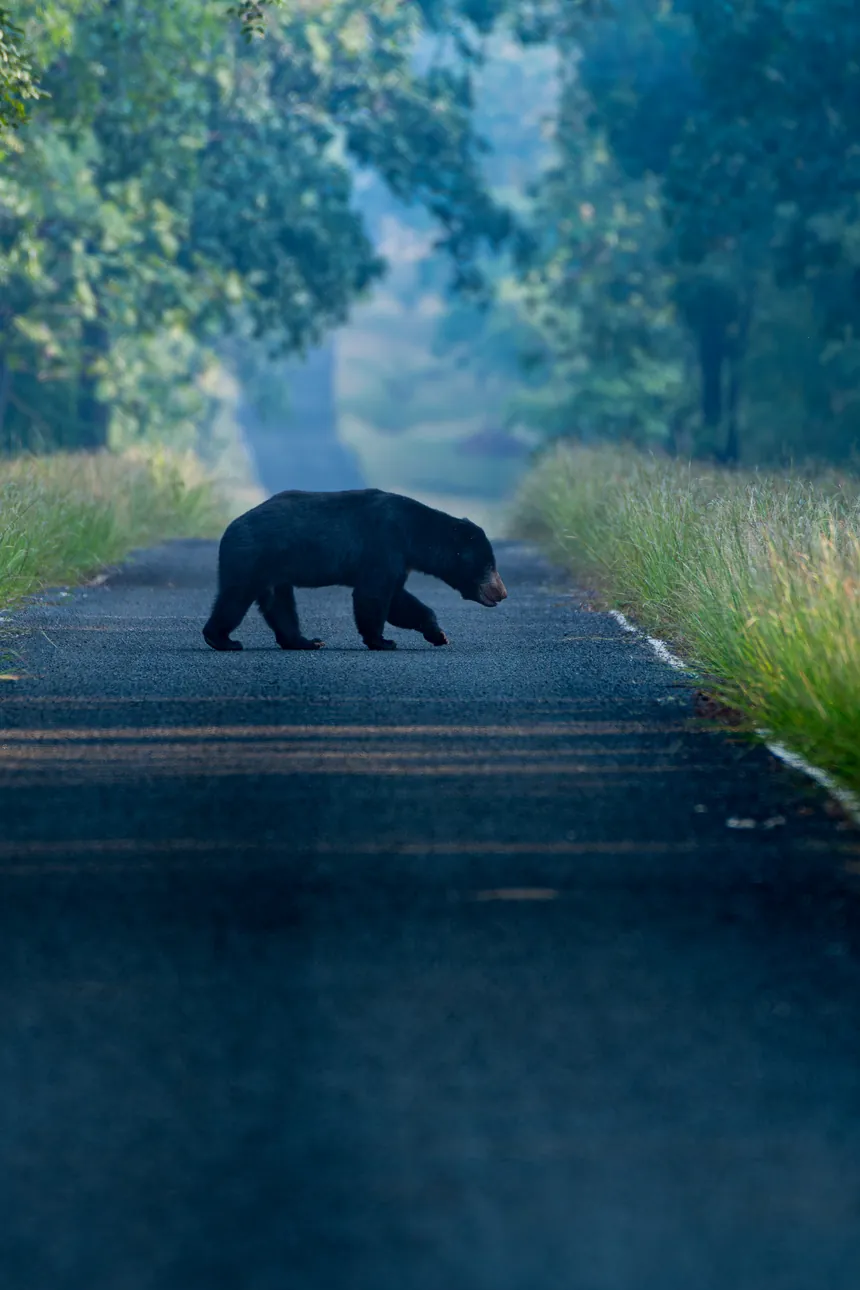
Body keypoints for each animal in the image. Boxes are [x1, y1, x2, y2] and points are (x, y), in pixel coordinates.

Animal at [202, 488, 507, 652]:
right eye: (489, 565)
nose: (502, 592)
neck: (414, 534)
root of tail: (230, 527)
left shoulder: (399, 559)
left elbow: (398, 601)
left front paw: (438, 634)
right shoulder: (384, 545)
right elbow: (373, 595)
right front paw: (383, 641)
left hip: (274, 568)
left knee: (279, 604)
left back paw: (305, 641)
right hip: (252, 557)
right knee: (235, 597)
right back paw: (222, 639)